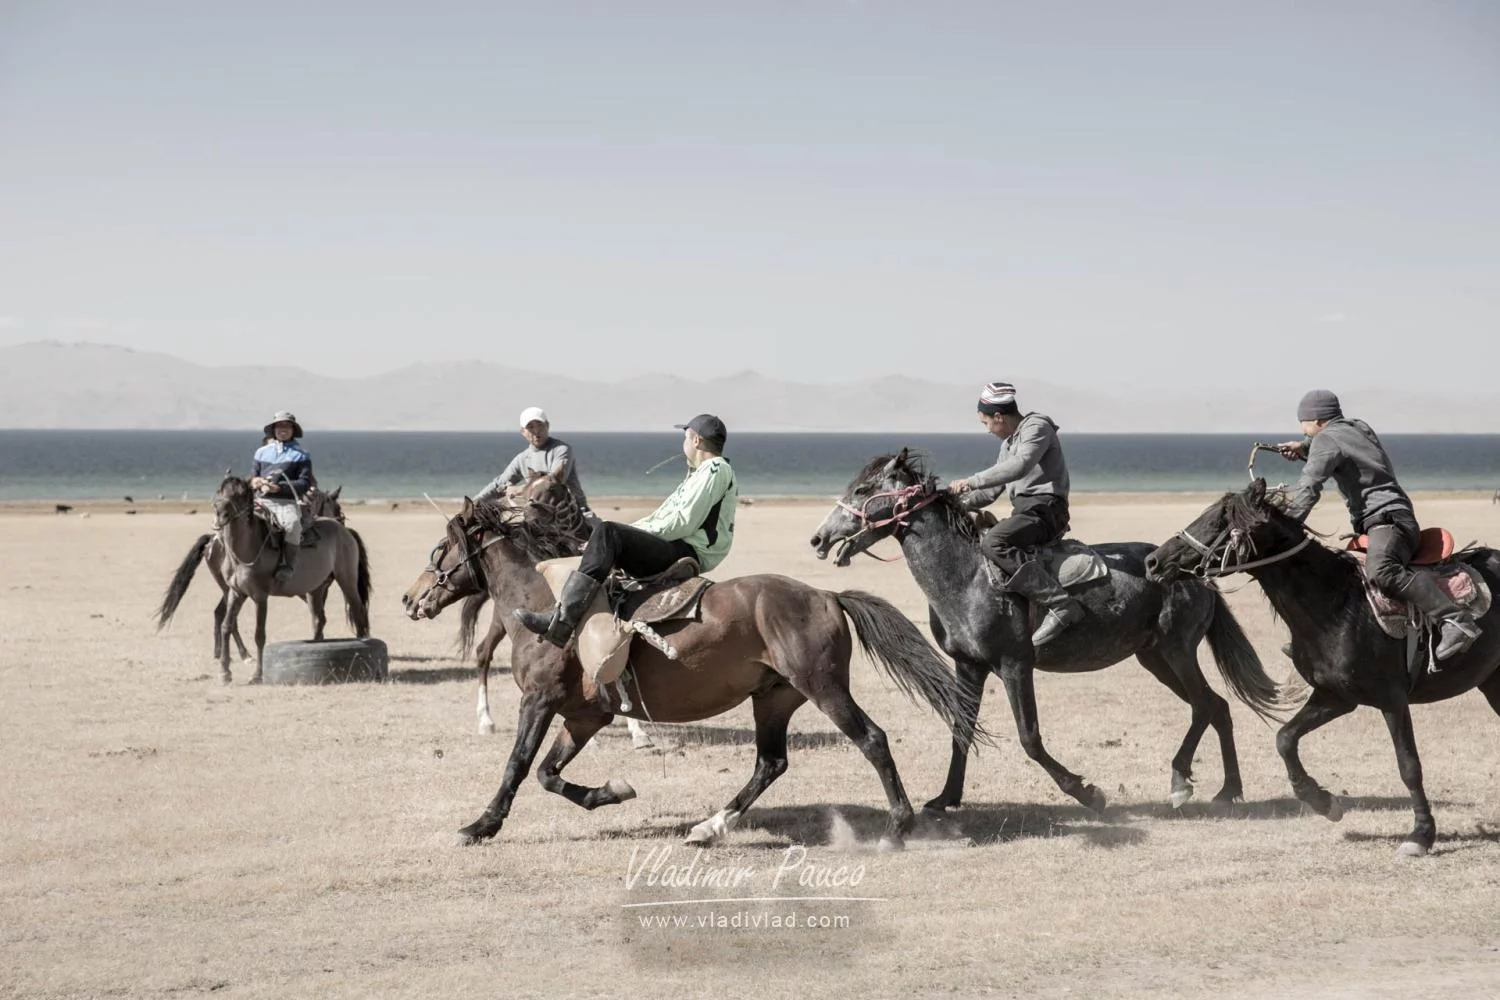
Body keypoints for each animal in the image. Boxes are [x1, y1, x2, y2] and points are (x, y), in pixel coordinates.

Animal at [156, 476, 373, 680]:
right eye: (220, 490)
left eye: (241, 494)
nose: (220, 513)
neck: (246, 550)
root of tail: (345, 533)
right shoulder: (237, 593)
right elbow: (227, 625)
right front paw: (226, 672)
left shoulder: (260, 597)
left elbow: (259, 634)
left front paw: (257, 675)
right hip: (313, 588)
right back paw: (239, 655)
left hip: (345, 581)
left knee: (357, 611)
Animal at [399, 497, 990, 851]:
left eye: (439, 548)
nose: (409, 598)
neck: (545, 601)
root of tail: (825, 595)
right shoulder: (584, 717)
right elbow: (548, 773)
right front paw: (610, 793)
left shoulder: (539, 702)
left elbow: (519, 765)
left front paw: (481, 825)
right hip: (773, 699)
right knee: (770, 763)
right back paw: (709, 826)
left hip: (823, 690)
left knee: (872, 740)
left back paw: (897, 826)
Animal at [810, 449, 1290, 815]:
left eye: (863, 491)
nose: (818, 538)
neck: (967, 577)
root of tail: (1196, 572)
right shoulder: (969, 667)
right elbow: (961, 730)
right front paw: (946, 798)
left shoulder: (1014, 665)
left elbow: (1030, 738)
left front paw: (1086, 792)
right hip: (1154, 658)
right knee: (1216, 707)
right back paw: (1226, 789)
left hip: (1177, 651)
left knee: (1206, 706)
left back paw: (1187, 783)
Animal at [1140, 479, 1500, 857]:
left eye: (1216, 521)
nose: (1153, 561)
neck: (1337, 605)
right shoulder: (1334, 696)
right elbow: (1285, 739)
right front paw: (1322, 801)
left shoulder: (1392, 700)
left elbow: (1409, 766)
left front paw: (1420, 835)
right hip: (1493, 682)